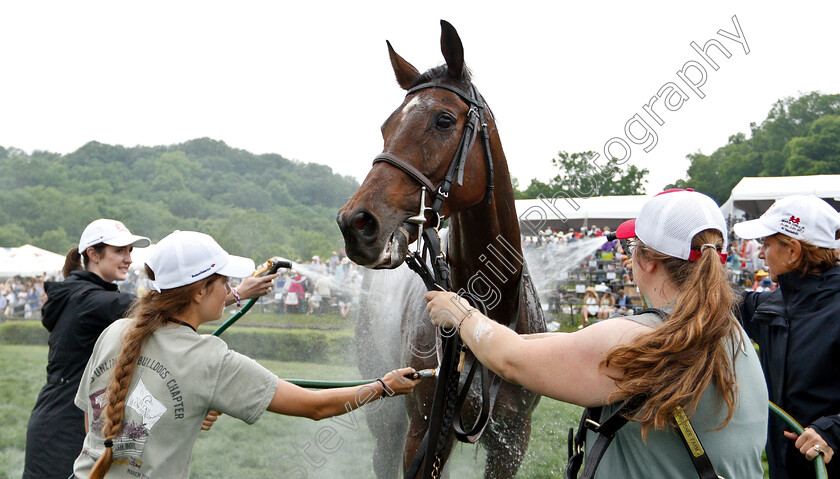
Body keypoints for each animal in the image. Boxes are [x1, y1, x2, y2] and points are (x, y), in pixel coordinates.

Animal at [338, 21, 548, 479]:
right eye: (386, 126)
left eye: (444, 119)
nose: (355, 223)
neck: (486, 315)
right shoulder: (424, 429)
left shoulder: (512, 440)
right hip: (386, 412)